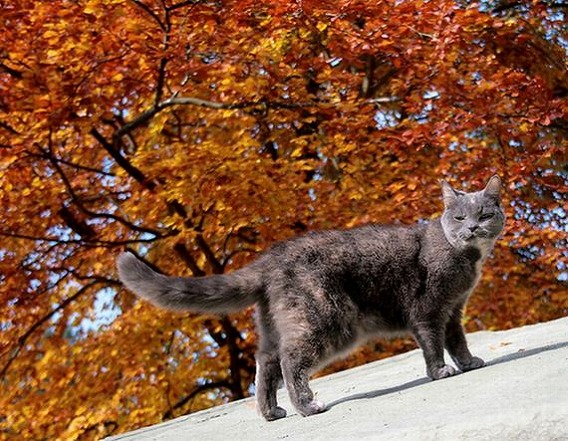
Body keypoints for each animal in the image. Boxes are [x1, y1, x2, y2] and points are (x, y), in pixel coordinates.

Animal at [116, 174, 506, 422]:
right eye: (459, 216)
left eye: (485, 214)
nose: (473, 227)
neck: (466, 257)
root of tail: (271, 258)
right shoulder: (428, 310)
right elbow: (433, 344)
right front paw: (440, 371)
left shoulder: (454, 310)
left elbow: (457, 340)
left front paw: (468, 362)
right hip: (326, 319)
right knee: (291, 361)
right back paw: (307, 407)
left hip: (277, 325)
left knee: (266, 363)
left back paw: (272, 413)